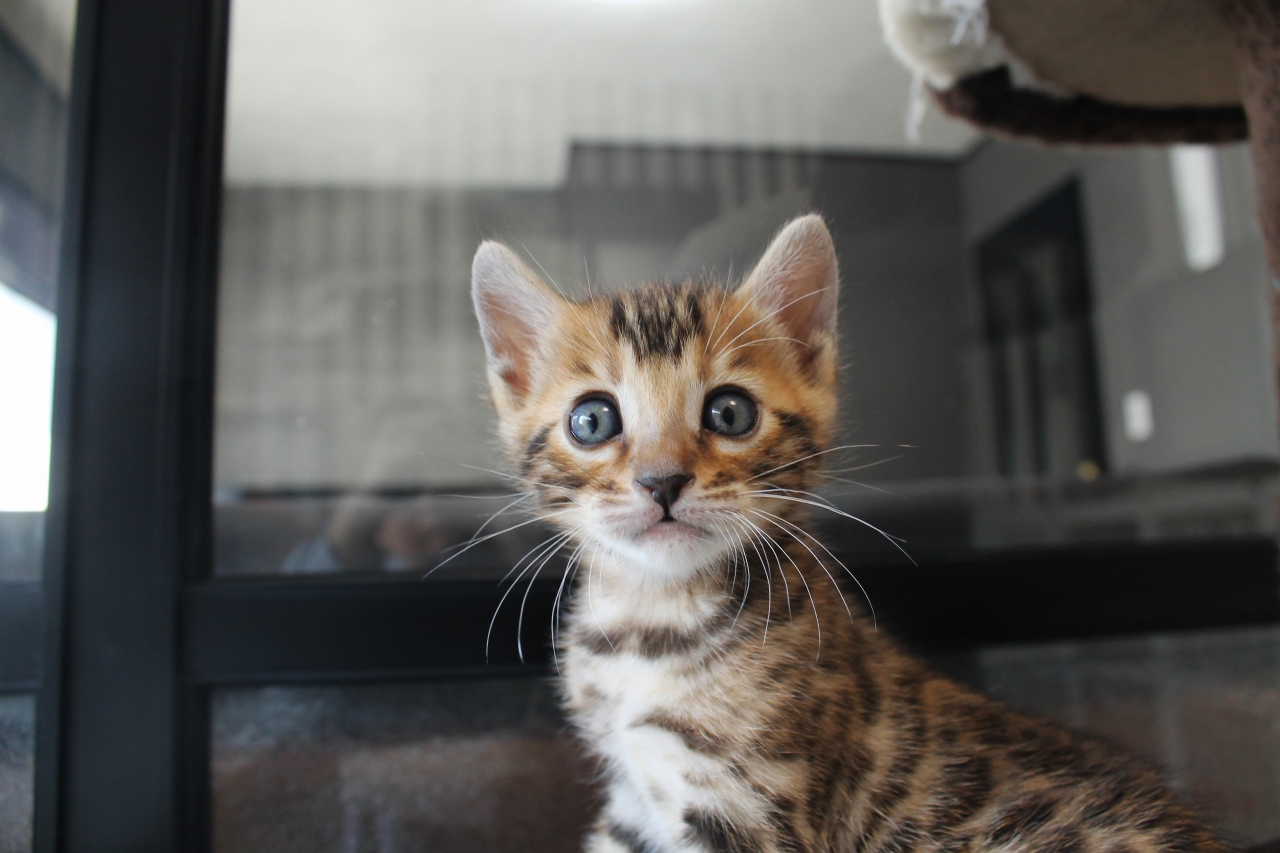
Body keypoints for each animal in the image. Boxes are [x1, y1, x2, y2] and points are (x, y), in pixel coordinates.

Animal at [469, 215, 1224, 853]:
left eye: (730, 412)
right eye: (592, 420)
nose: (662, 481)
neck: (651, 619)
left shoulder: (750, 811)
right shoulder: (632, 800)